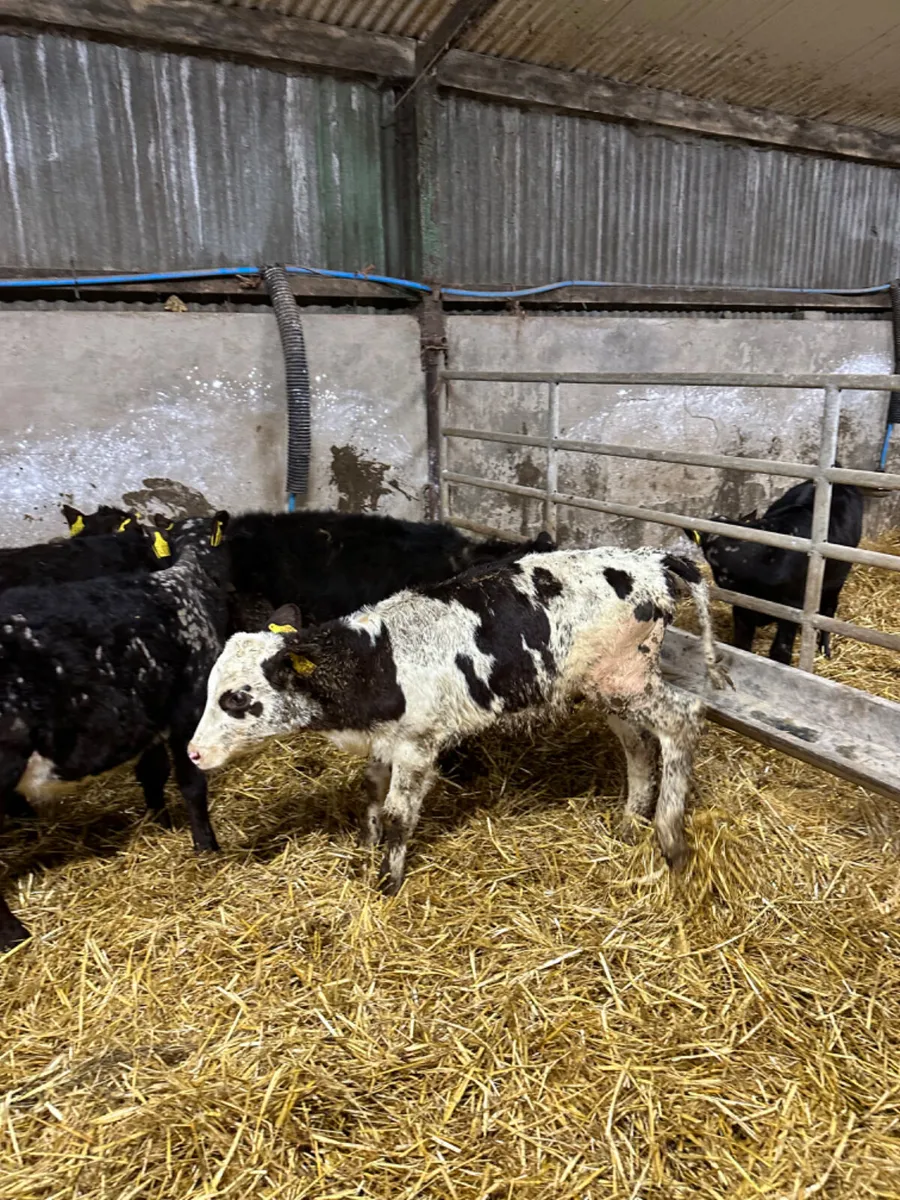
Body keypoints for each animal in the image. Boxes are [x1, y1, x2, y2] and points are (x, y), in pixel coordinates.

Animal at [0, 514, 232, 950]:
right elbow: (191, 784)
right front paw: (206, 846)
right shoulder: (188, 708)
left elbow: (152, 774)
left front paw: (160, 822)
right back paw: (14, 935)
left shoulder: (151, 714)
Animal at [188, 546, 730, 897]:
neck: (375, 661)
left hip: (626, 679)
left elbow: (398, 814)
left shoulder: (418, 743)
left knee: (681, 720)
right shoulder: (385, 741)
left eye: (237, 698)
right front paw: (367, 846)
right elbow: (370, 792)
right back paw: (629, 820)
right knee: (638, 744)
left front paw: (386, 882)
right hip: (605, 686)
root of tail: (650, 558)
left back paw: (669, 836)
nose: (194, 753)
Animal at [693, 478, 863, 664]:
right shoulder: (741, 604)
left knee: (829, 609)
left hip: (837, 579)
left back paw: (825, 649)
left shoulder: (793, 605)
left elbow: (780, 651)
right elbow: (742, 643)